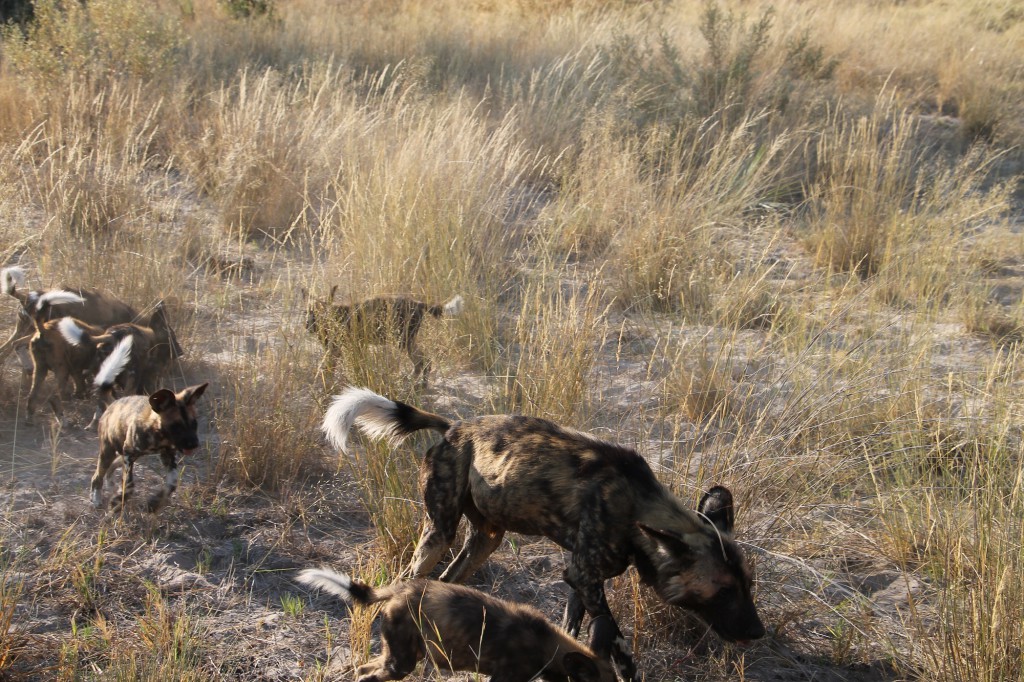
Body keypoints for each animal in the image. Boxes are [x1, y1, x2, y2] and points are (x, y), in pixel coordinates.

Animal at [92, 378, 209, 512]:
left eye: (194, 423)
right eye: (176, 426)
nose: (194, 444)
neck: (158, 435)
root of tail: (112, 404)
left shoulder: (168, 455)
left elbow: (172, 482)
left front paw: (155, 502)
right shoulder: (129, 453)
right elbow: (129, 484)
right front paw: (117, 502)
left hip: (126, 454)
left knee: (112, 467)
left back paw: (110, 484)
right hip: (109, 453)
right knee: (97, 476)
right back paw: (96, 499)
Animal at [301, 284, 466, 385]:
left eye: (318, 313)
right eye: (306, 312)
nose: (307, 324)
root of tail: (418, 303)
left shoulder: (336, 350)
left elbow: (327, 370)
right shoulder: (348, 348)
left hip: (402, 341)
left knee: (423, 361)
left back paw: (417, 384)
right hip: (407, 342)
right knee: (424, 362)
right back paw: (416, 383)